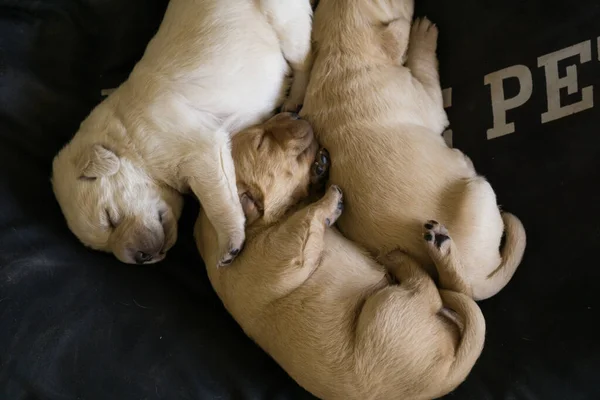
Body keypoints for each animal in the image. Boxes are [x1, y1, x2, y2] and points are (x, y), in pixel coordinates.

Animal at [51, 0, 314, 268]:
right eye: (104, 248)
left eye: (110, 219)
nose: (141, 258)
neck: (128, 141)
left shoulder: (201, 150)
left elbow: (217, 201)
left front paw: (229, 243)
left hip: (284, 18)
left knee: (304, 59)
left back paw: (294, 99)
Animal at [195, 112, 486, 400]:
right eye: (261, 143)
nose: (292, 113)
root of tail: (446, 377)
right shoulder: (281, 254)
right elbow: (306, 218)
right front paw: (329, 202)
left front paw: (319, 168)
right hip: (385, 310)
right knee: (430, 288)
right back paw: (404, 257)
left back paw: (438, 244)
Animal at [300, 0, 524, 300]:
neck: (341, 55)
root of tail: (475, 282)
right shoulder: (426, 98)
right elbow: (425, 69)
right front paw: (422, 34)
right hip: (478, 190)